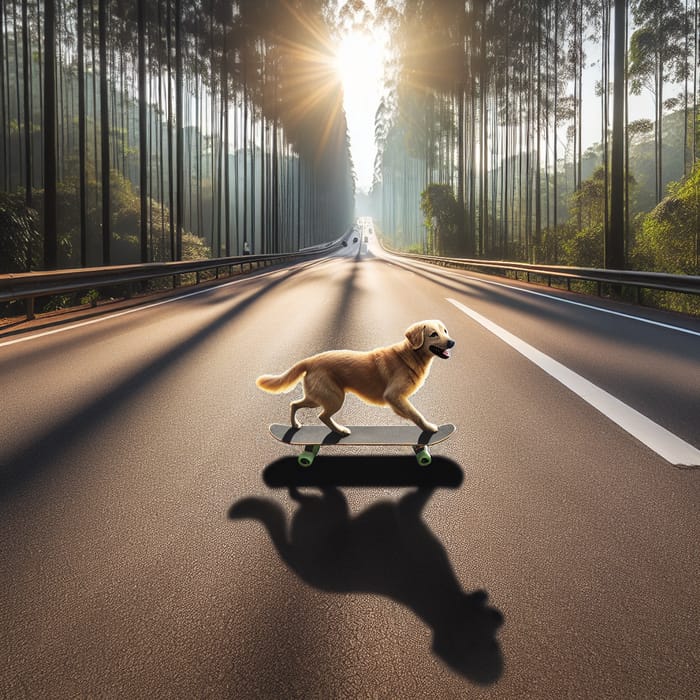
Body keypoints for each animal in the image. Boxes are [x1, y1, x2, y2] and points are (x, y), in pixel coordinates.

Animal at [256, 320, 454, 434]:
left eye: (445, 331)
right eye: (433, 334)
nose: (452, 342)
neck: (410, 355)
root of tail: (310, 360)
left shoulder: (398, 398)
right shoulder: (394, 395)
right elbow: (416, 414)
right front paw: (429, 428)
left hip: (317, 397)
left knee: (294, 404)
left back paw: (296, 425)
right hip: (334, 397)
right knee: (322, 416)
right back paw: (340, 431)